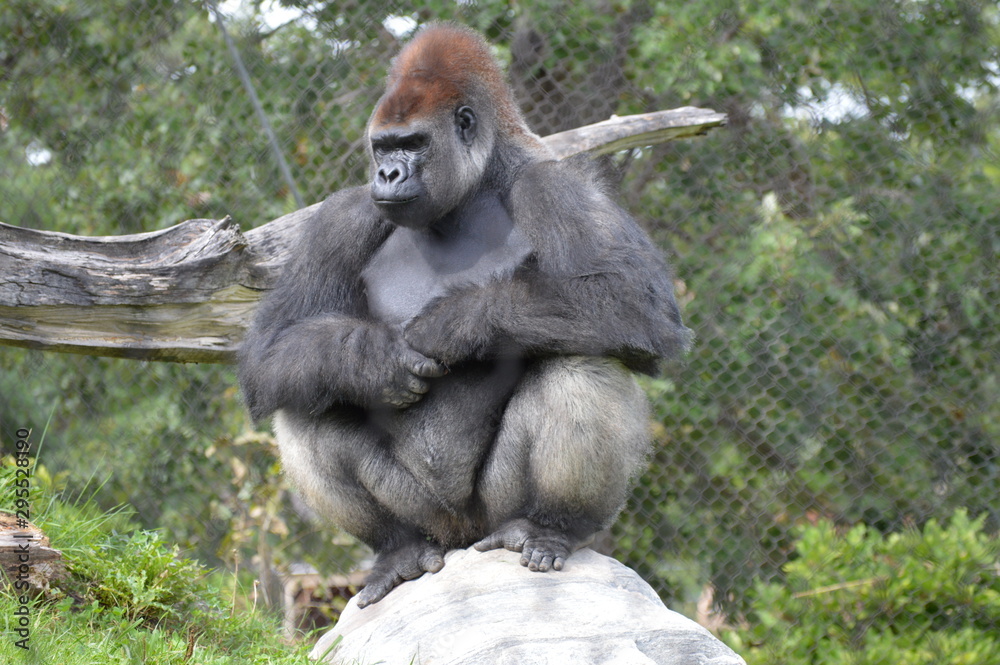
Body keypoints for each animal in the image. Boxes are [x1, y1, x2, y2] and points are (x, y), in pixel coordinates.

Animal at [237, 23, 691, 608]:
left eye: (414, 144)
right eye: (383, 146)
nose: (387, 173)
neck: (473, 188)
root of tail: (459, 538)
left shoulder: (555, 184)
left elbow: (637, 302)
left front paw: (455, 323)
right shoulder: (342, 215)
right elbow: (270, 351)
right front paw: (373, 361)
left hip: (491, 515)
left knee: (583, 363)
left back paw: (549, 527)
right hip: (428, 516)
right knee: (303, 401)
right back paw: (398, 548)